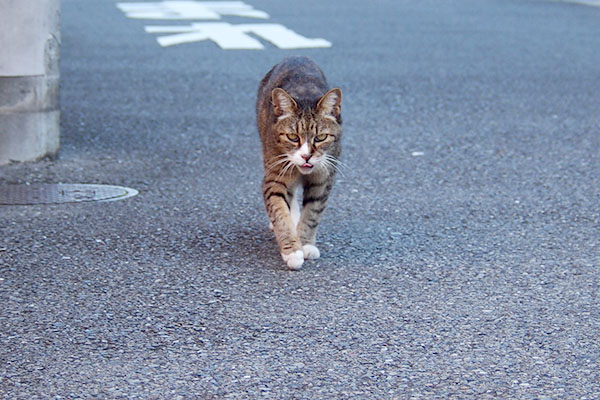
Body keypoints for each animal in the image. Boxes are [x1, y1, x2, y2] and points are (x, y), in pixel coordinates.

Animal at [256, 56, 342, 270]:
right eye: (293, 137)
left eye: (320, 137)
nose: (306, 156)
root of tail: (296, 56)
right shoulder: (275, 177)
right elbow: (279, 211)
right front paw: (292, 251)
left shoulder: (323, 179)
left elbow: (312, 213)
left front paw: (306, 244)